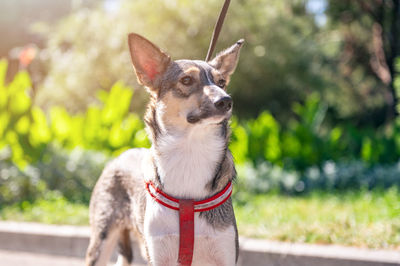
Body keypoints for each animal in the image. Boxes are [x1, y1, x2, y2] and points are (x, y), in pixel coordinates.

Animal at [84, 33, 244, 266]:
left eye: (222, 82)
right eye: (186, 80)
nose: (225, 101)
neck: (190, 153)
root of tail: (120, 156)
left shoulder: (224, 252)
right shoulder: (159, 254)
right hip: (101, 240)